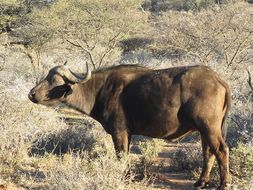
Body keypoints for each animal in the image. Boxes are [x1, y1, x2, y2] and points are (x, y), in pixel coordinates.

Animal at [28, 63, 230, 189]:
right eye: (46, 76)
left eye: (54, 81)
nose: (32, 94)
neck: (100, 89)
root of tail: (218, 79)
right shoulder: (128, 134)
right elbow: (124, 156)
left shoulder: (119, 133)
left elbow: (120, 156)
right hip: (204, 130)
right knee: (208, 152)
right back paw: (201, 182)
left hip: (209, 127)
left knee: (221, 150)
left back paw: (223, 184)